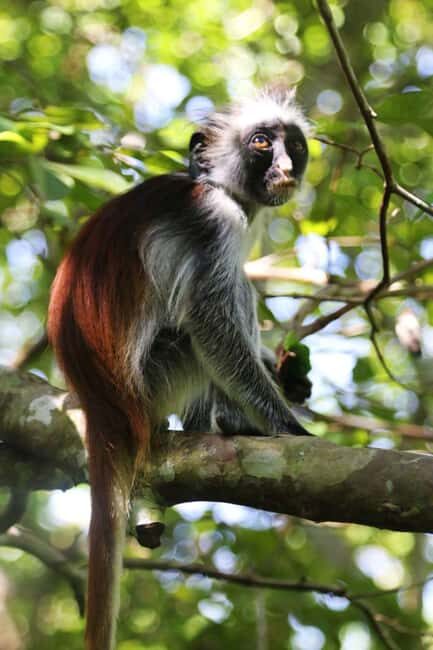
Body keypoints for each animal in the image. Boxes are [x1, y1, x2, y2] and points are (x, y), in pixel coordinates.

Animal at [47, 87, 311, 650]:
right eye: (262, 143)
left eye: (294, 146)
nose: (284, 165)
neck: (209, 184)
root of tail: (102, 405)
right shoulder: (214, 218)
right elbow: (210, 322)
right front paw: (286, 425)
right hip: (158, 376)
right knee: (210, 314)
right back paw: (229, 421)